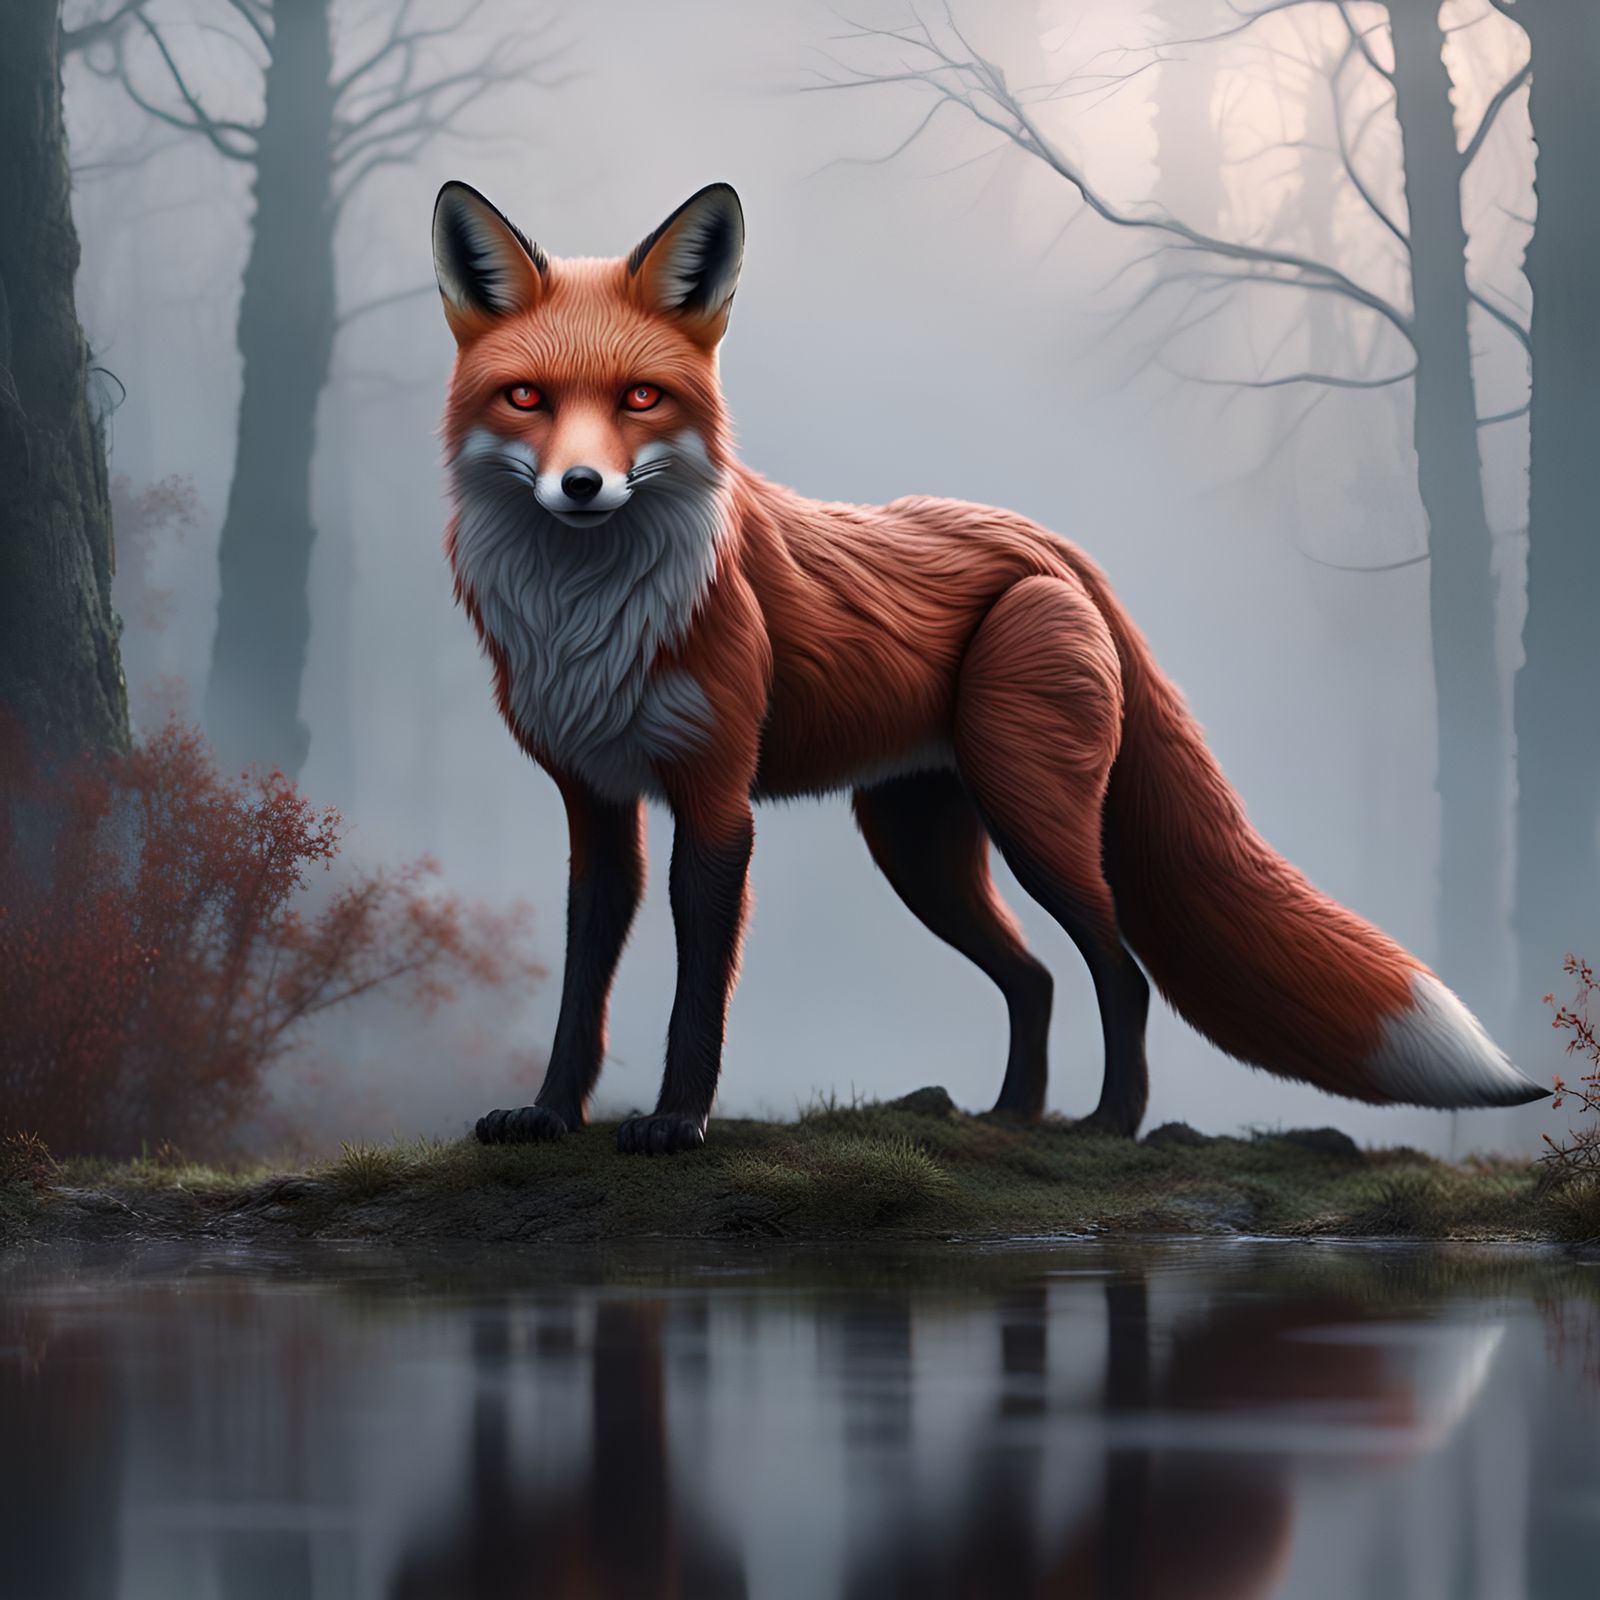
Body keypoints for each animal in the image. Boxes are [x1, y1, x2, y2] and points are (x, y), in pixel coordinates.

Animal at [430, 178, 1546, 1156]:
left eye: (641, 398)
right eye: (526, 398)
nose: (582, 485)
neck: (589, 618)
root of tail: (1044, 542)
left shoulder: (716, 802)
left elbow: (698, 993)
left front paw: (676, 1124)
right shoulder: (596, 805)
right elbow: (581, 986)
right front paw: (548, 1115)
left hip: (1031, 815)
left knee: (1119, 969)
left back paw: (1109, 1123)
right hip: (919, 844)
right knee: (1033, 977)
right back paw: (1011, 1116)